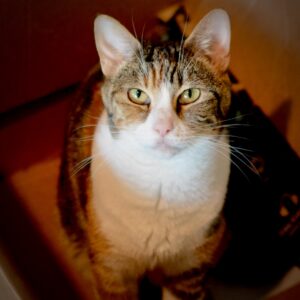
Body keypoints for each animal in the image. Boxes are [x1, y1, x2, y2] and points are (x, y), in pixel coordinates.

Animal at [58, 8, 232, 298]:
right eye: (137, 94)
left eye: (190, 94)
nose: (163, 127)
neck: (161, 183)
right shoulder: (111, 266)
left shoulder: (192, 265)